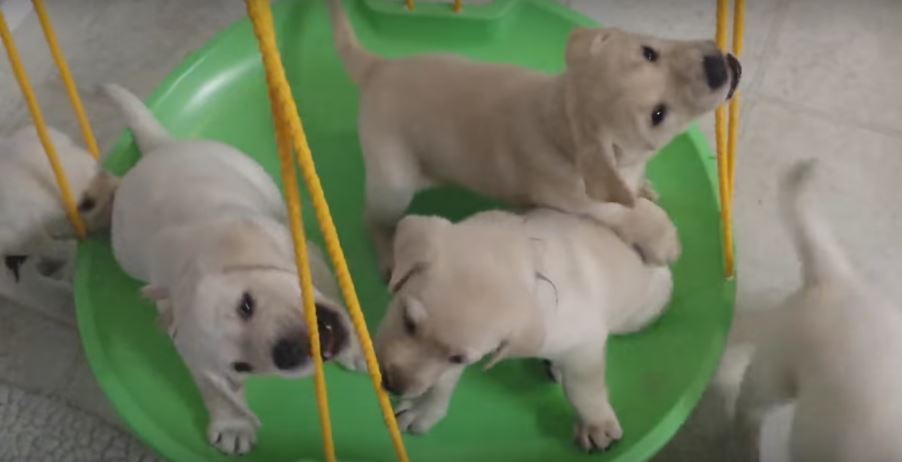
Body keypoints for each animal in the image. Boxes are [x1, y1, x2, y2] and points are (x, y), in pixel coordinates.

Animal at [101, 85, 364, 456]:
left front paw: (357, 346)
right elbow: (211, 386)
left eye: (246, 305)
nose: (288, 353)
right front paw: (232, 423)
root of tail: (159, 149)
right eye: (243, 367)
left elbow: (335, 295)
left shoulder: (307, 255)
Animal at [324, 0, 740, 272]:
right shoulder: (581, 200)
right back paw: (386, 252)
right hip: (393, 182)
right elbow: (625, 211)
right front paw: (661, 236)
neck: (562, 124)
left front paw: (643, 186)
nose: (718, 67)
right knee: (371, 218)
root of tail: (377, 68)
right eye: (658, 115)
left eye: (651, 51)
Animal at [372, 208, 672, 452]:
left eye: (457, 357)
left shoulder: (585, 343)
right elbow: (441, 380)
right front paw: (424, 408)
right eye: (407, 321)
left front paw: (595, 424)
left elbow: (583, 387)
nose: (392, 384)